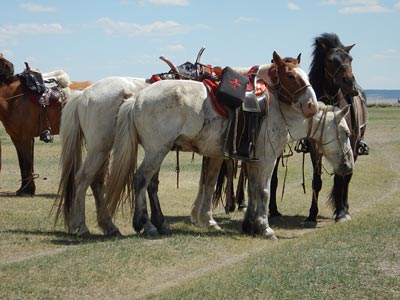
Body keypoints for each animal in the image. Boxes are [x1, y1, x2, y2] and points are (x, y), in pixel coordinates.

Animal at [0, 53, 91, 195]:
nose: (11, 67)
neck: (13, 100)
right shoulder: (16, 138)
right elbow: (23, 163)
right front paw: (23, 189)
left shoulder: (24, 138)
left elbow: (27, 163)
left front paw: (28, 190)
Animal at [55, 77, 150, 237]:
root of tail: (83, 95)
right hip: (98, 148)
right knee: (83, 178)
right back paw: (82, 226)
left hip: (102, 150)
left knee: (96, 181)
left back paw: (109, 226)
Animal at [101, 52, 322, 239]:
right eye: (291, 76)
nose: (312, 106)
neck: (271, 101)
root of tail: (137, 98)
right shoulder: (267, 158)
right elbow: (264, 190)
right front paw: (264, 227)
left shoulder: (253, 158)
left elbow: (251, 189)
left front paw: (249, 225)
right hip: (157, 150)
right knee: (140, 179)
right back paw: (146, 224)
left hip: (157, 150)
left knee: (151, 183)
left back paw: (160, 223)